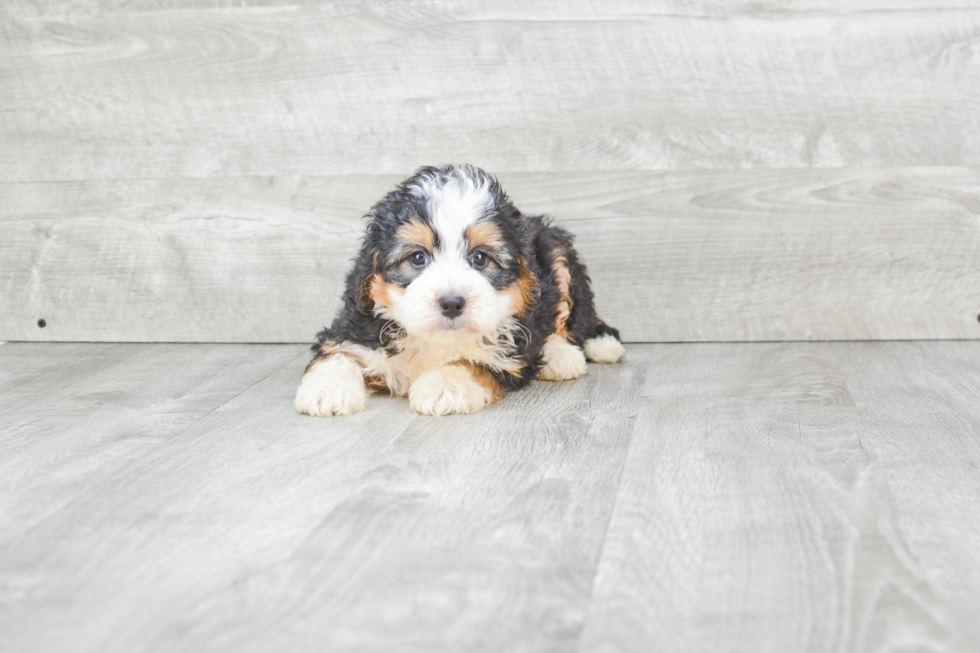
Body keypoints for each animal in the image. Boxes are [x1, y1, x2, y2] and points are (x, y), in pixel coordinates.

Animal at [294, 164, 624, 418]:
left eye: (479, 258)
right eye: (418, 257)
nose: (451, 303)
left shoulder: (510, 353)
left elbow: (473, 362)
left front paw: (443, 386)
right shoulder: (356, 325)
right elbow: (338, 352)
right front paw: (328, 389)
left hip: (558, 255)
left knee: (572, 316)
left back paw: (571, 352)